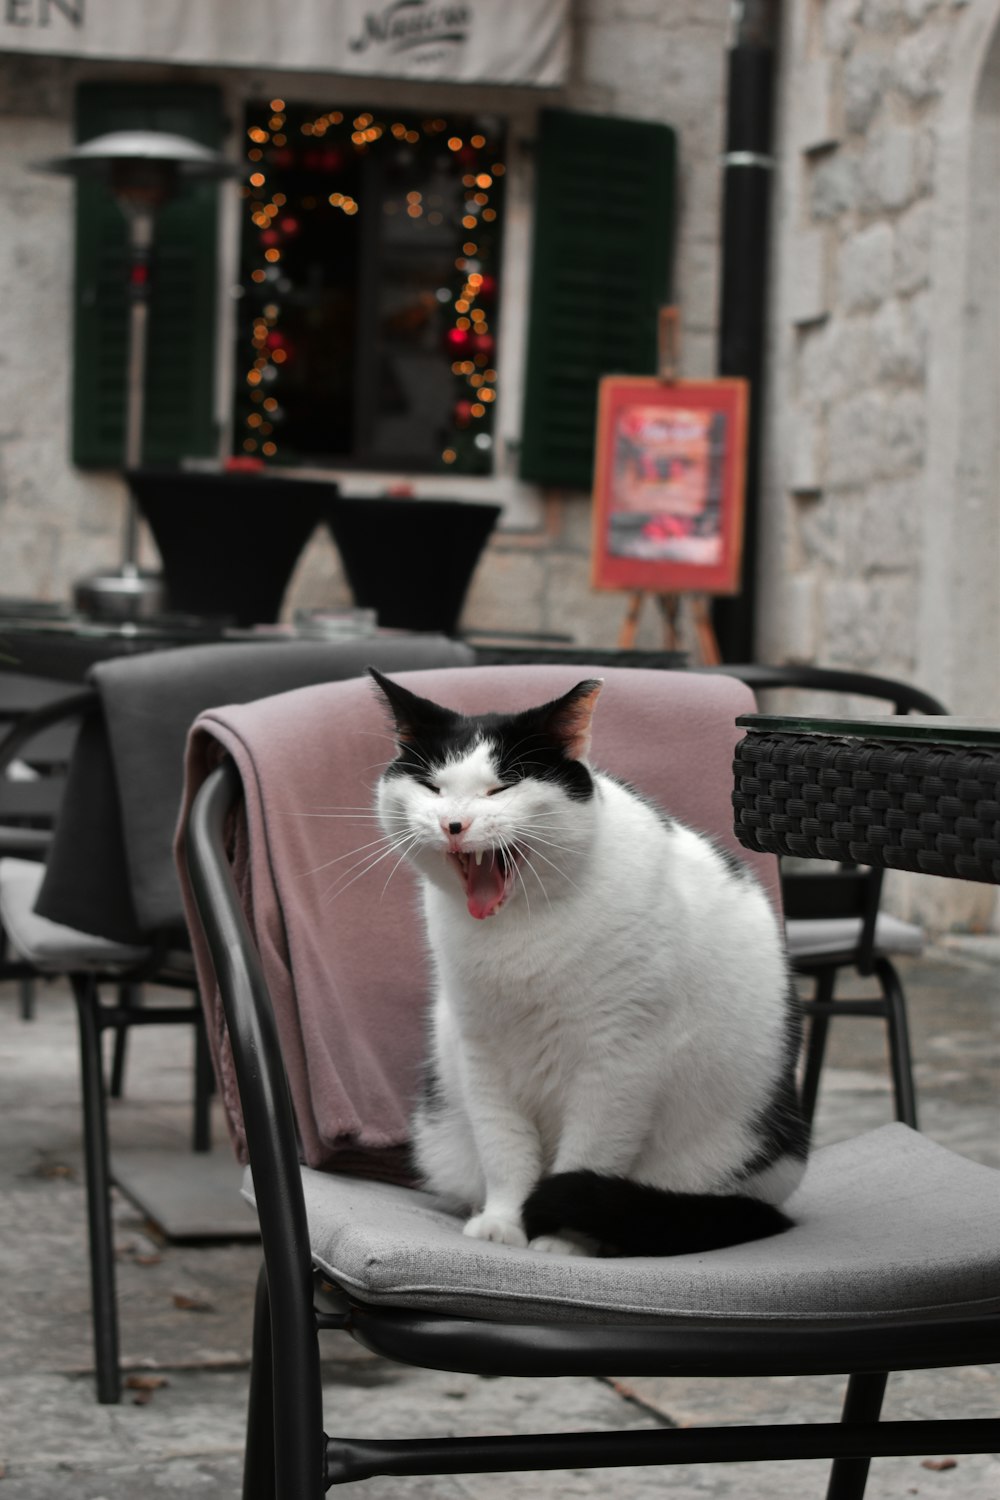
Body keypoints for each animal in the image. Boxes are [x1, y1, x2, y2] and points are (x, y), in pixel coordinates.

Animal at [367, 672, 803, 1254]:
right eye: (433, 787)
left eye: (502, 788)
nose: (455, 824)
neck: (520, 931)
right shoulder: (482, 1053)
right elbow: (504, 1150)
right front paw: (504, 1222)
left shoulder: (618, 1062)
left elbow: (588, 1156)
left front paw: (560, 1242)